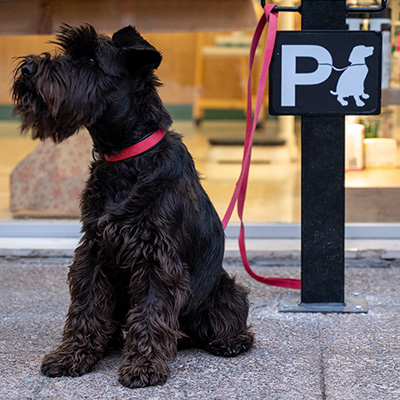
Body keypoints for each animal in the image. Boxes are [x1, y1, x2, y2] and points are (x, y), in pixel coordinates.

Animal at [12, 24, 253, 388]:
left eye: (91, 59)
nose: (28, 70)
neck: (126, 157)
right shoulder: (93, 251)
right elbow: (86, 308)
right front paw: (73, 355)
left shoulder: (156, 259)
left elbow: (150, 312)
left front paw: (143, 366)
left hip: (225, 290)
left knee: (226, 321)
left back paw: (231, 341)